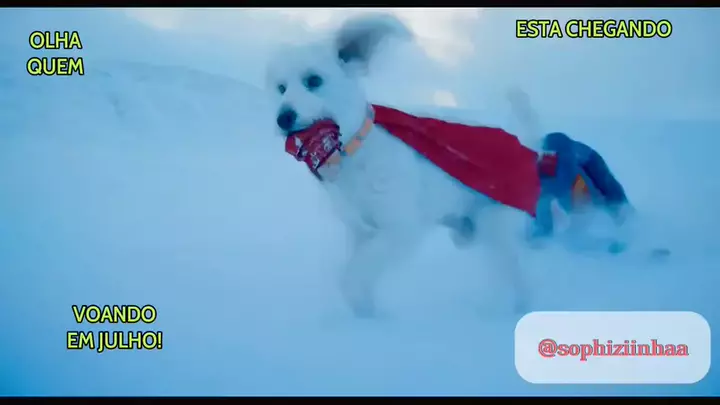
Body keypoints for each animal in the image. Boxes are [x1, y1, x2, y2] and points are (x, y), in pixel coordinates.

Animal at [265, 14, 551, 317]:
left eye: (313, 80)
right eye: (281, 88)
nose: (283, 118)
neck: (353, 153)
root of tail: (526, 142)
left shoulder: (400, 229)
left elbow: (354, 272)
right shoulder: (359, 231)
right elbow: (356, 271)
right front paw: (364, 313)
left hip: (496, 226)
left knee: (518, 275)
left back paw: (515, 311)